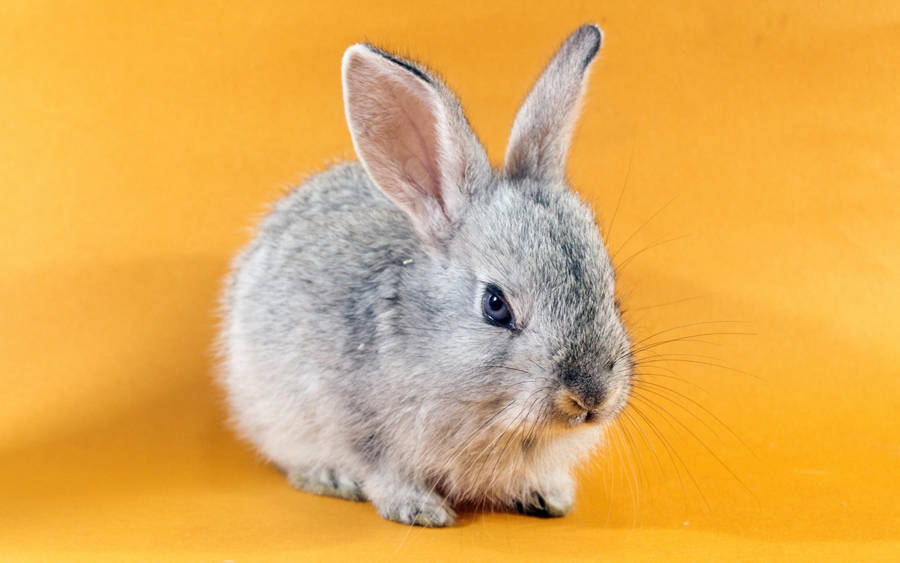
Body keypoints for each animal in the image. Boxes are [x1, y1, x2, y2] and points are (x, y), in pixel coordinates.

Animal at [219, 24, 632, 527]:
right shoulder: (363, 428)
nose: (591, 396)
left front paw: (548, 496)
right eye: (495, 305)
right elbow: (384, 473)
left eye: (611, 291)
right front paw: (421, 511)